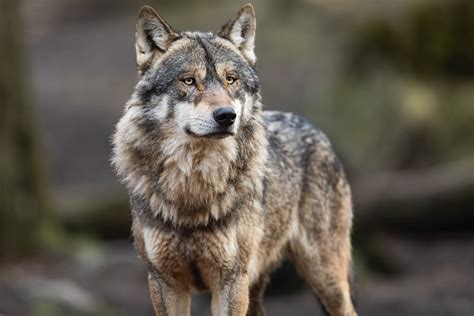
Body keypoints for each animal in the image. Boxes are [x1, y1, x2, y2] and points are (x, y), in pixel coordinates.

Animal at [112, 3, 356, 316]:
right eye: (189, 80)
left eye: (231, 79)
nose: (227, 116)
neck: (193, 189)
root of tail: (313, 128)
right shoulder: (164, 281)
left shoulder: (230, 281)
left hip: (325, 279)